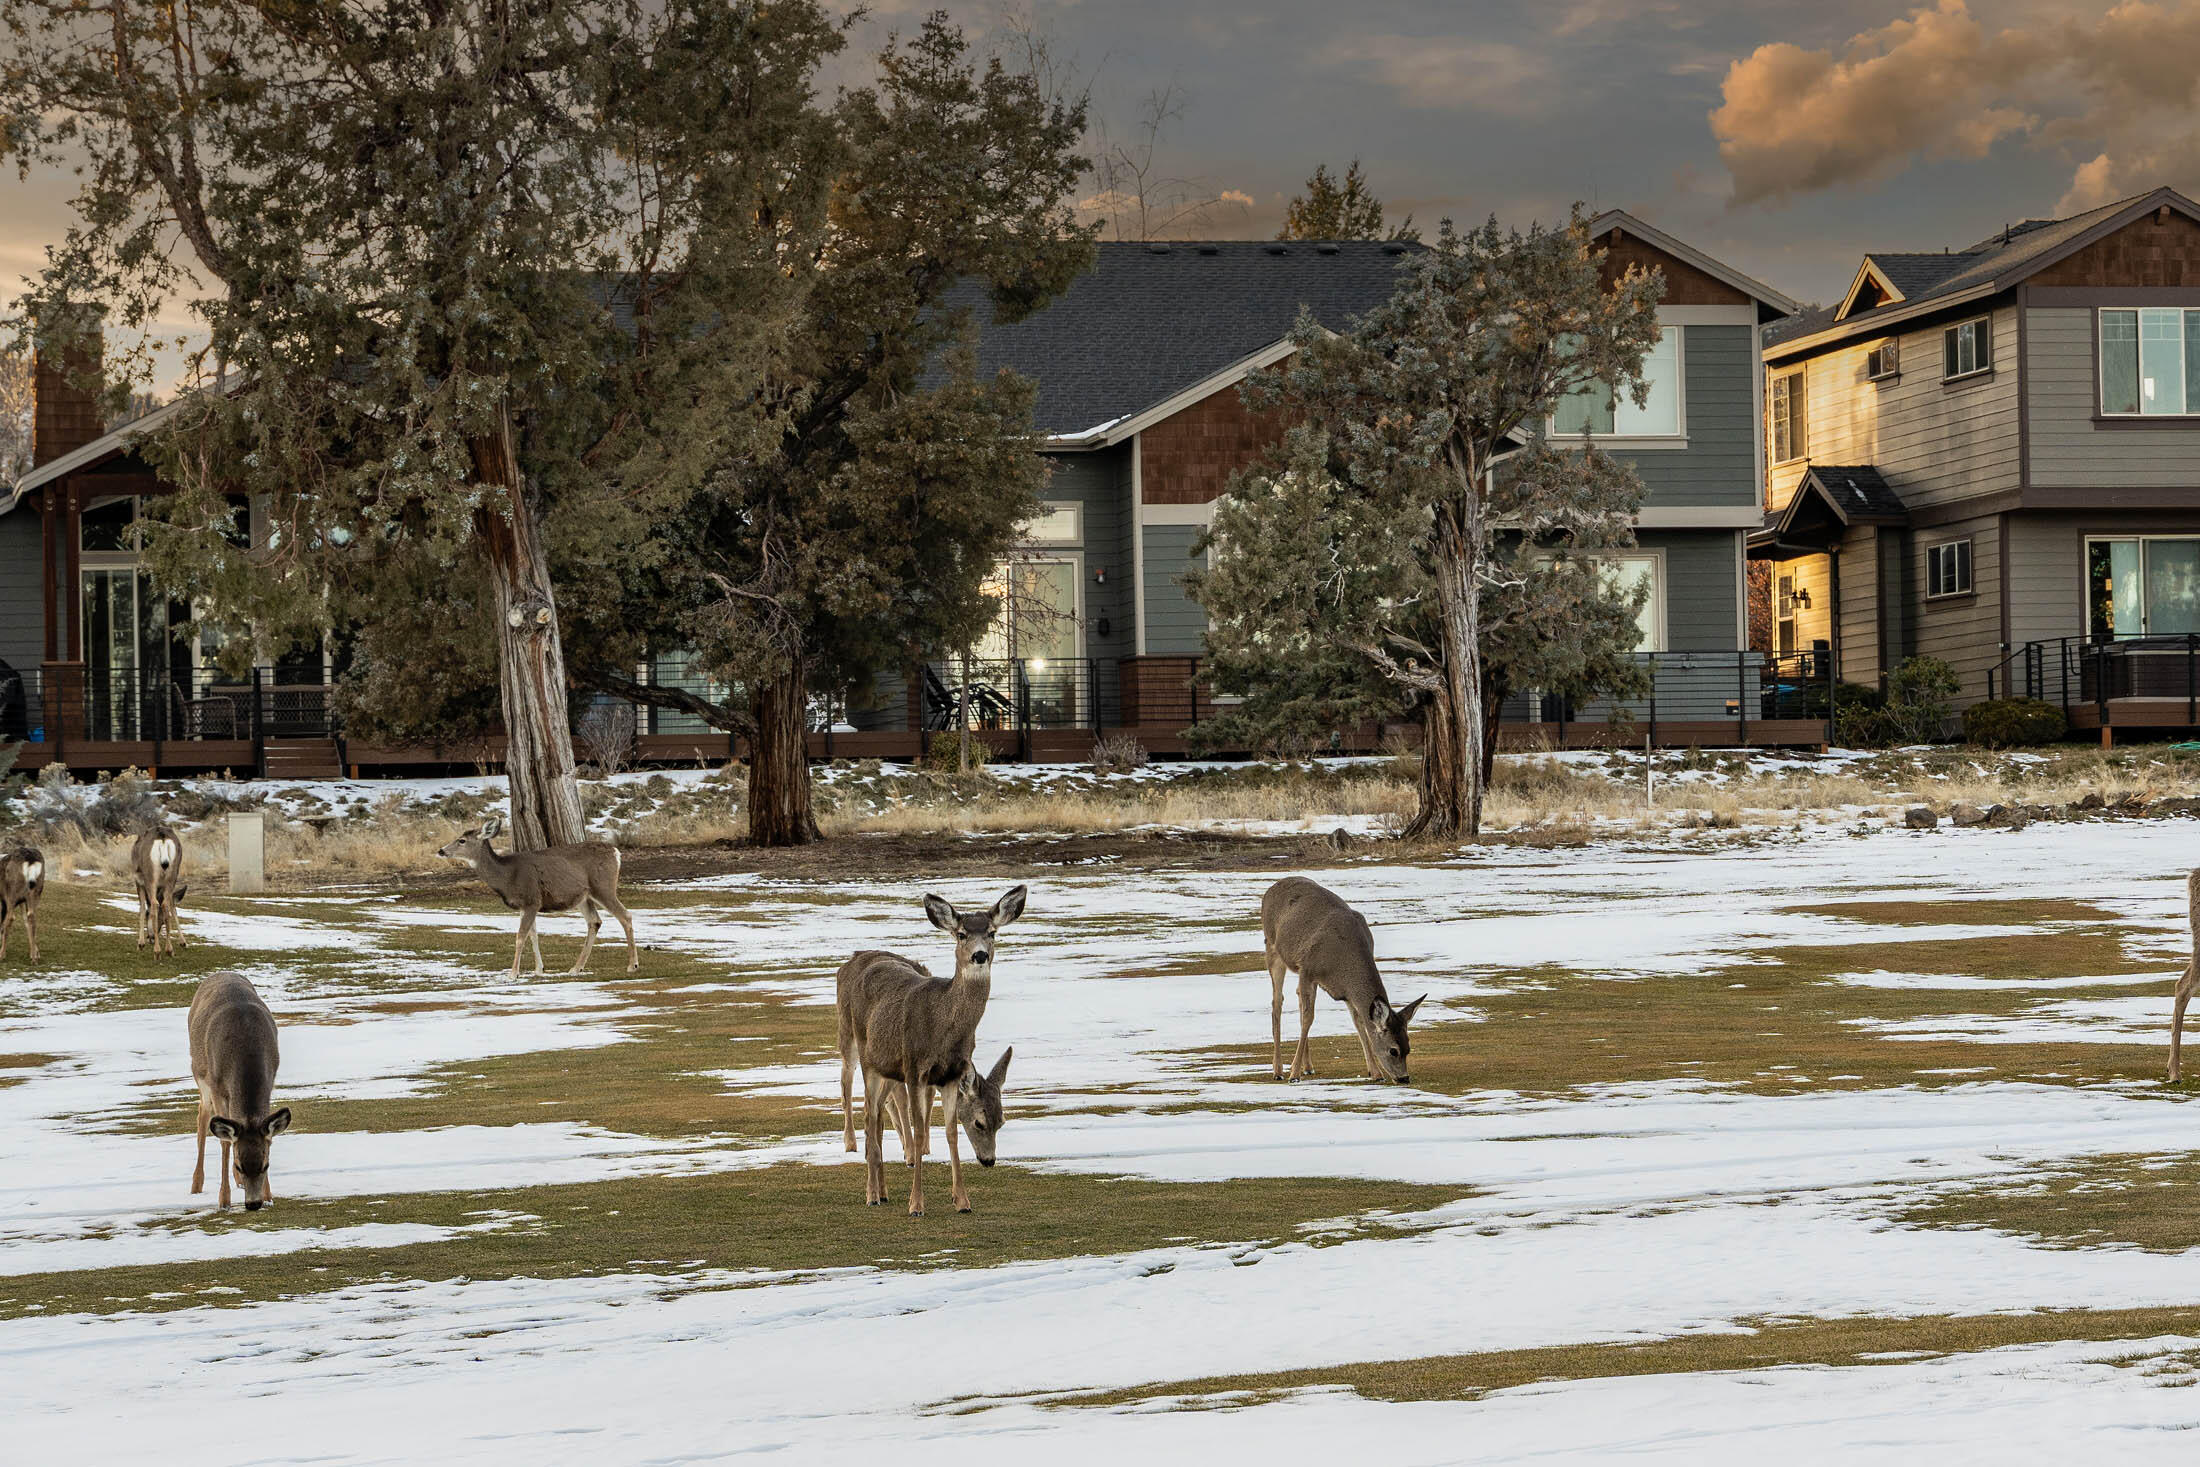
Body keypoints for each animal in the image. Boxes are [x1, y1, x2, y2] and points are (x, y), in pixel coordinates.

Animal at [132, 825, 188, 956]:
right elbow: (173, 908)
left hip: (150, 876)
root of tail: (162, 837)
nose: (151, 937)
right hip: (173, 874)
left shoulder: (138, 881)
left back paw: (157, 951)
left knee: (154, 904)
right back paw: (169, 949)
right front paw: (183, 942)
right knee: (165, 904)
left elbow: (142, 908)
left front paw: (140, 944)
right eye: (161, 922)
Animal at [188, 969, 292, 1211]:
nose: (253, 1204)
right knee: (202, 1115)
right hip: (199, 1073)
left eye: (265, 1165)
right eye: (238, 1165)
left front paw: (269, 1196)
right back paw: (196, 1185)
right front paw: (223, 1201)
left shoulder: (271, 1081)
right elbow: (225, 1142)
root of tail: (220, 973)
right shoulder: (217, 1086)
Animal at [436, 816, 638, 980]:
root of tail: (616, 852)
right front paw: (539, 969)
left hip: (603, 887)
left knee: (625, 915)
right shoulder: (524, 905)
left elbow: (520, 936)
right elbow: (533, 935)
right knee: (595, 921)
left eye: (462, 840)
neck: (507, 876)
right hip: (583, 897)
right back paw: (576, 968)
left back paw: (632, 965)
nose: (441, 851)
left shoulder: (532, 899)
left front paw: (512, 974)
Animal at [836, 885, 1025, 1215]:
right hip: (865, 1055)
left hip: (888, 1069)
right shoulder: (915, 1069)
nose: (979, 955)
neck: (943, 1027)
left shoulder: (951, 1074)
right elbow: (921, 1130)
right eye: (961, 934)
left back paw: (883, 1191)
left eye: (992, 932)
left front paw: (962, 1200)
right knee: (868, 1113)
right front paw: (916, 1204)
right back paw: (871, 1193)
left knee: (879, 1114)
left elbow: (950, 1133)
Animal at [1263, 876, 1425, 1085]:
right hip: (1272, 947)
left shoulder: (1346, 992)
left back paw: (1308, 1067)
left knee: (1297, 998)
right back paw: (1279, 1070)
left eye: (1408, 1048)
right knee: (1277, 1001)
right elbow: (1308, 1018)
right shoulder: (1307, 969)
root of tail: (1271, 888)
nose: (1404, 1078)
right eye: (1393, 1051)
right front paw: (1294, 1075)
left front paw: (1376, 1073)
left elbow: (1358, 1022)